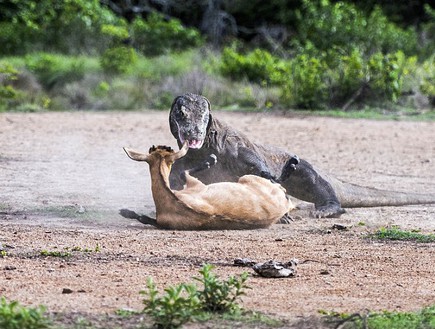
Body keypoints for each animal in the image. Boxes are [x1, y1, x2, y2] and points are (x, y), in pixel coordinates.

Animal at [123, 140, 292, 228]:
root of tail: (283, 203)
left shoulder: (196, 185)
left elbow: (184, 173)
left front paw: (211, 159)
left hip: (247, 177)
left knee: (277, 181)